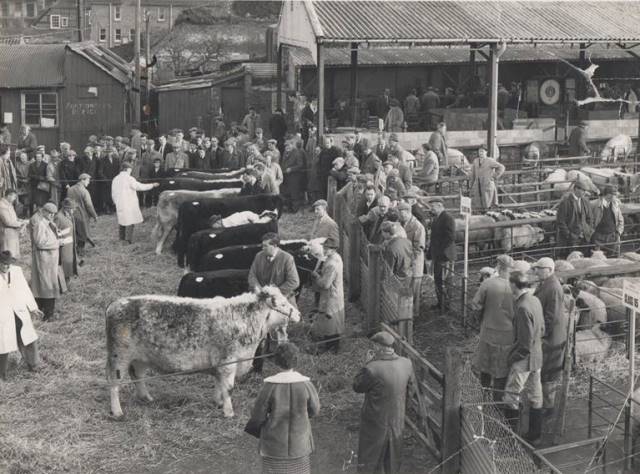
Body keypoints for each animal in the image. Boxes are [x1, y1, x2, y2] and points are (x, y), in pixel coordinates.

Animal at [105, 286, 300, 416]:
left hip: (140, 357)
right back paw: (117, 411)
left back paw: (146, 397)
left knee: (137, 375)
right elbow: (229, 387)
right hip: (119, 356)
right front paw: (229, 412)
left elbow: (220, 384)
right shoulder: (228, 360)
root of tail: (114, 304)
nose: (298, 314)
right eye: (283, 303)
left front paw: (218, 402)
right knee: (114, 383)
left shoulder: (222, 364)